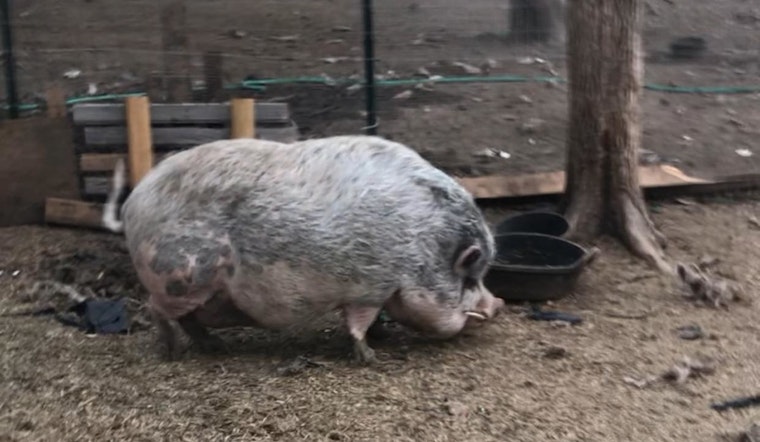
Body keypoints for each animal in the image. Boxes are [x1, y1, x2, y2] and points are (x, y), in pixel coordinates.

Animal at [102, 135, 504, 364]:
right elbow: (357, 324)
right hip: (180, 277)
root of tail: (135, 201)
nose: (497, 304)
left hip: (202, 292)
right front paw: (372, 358)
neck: (421, 249)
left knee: (188, 318)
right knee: (156, 309)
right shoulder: (369, 288)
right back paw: (174, 354)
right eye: (471, 277)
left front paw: (382, 340)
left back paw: (215, 348)